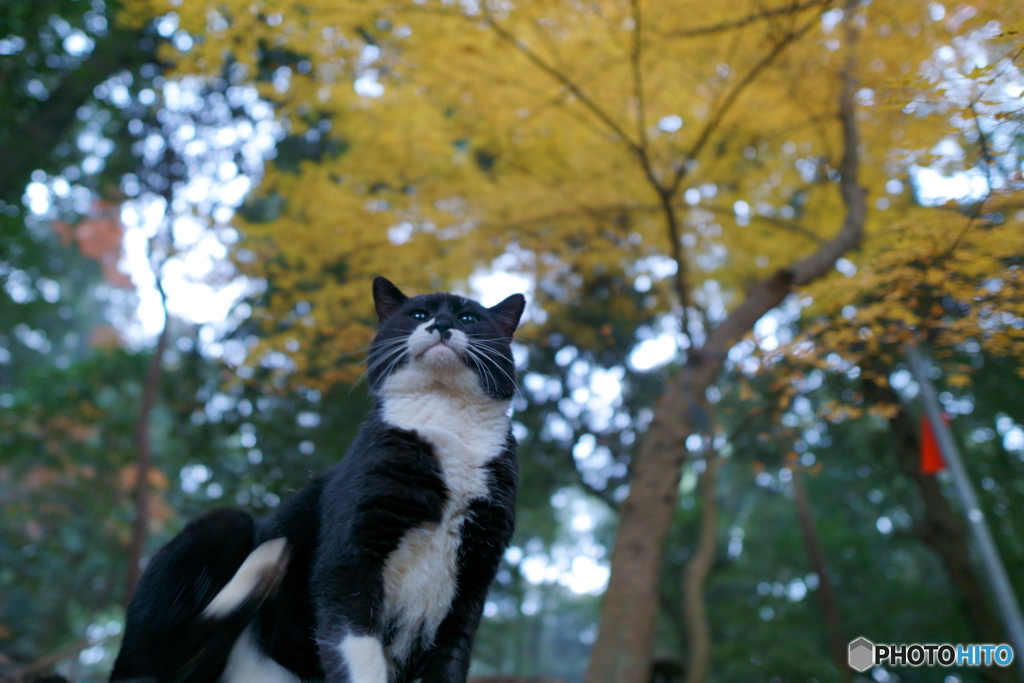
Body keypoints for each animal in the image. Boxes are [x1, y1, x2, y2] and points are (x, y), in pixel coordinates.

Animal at [111, 278, 524, 683]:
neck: (448, 422)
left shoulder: (472, 581)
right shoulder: (349, 556)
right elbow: (358, 650)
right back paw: (263, 565)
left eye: (469, 318)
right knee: (160, 659)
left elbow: (450, 659)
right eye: (418, 314)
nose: (441, 324)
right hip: (223, 527)